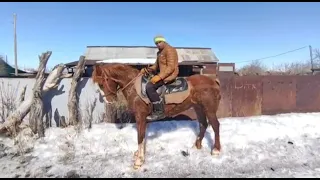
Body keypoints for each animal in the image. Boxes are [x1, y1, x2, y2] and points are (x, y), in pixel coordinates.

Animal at [91, 62, 221, 169]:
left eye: (102, 83)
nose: (109, 101)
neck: (135, 88)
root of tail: (213, 82)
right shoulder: (144, 119)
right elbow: (143, 137)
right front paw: (140, 155)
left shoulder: (140, 117)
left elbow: (140, 137)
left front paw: (139, 161)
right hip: (198, 108)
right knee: (203, 124)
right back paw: (197, 145)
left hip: (209, 110)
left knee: (215, 125)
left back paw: (216, 150)